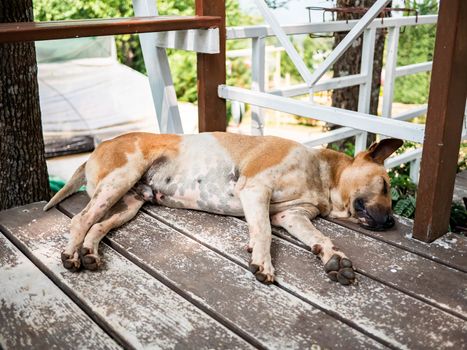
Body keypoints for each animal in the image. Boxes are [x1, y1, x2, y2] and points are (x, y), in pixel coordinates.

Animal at [43, 133, 402, 286]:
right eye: (385, 186)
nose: (391, 222)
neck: (322, 175)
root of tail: (98, 148)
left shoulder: (293, 215)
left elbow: (320, 238)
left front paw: (335, 259)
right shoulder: (256, 189)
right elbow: (264, 231)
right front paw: (261, 260)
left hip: (127, 204)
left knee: (96, 226)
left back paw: (90, 253)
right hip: (121, 178)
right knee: (80, 220)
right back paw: (72, 254)